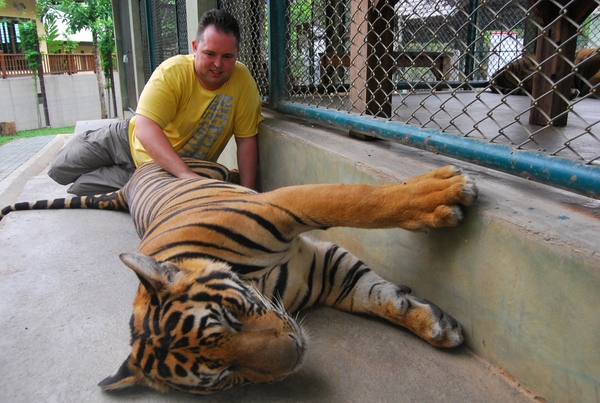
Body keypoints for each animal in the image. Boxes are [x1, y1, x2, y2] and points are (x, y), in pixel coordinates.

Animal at [0, 157, 478, 394]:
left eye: (229, 318)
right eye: (224, 376)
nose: (296, 353)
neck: (264, 284)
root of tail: (128, 182)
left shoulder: (284, 206)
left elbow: (357, 199)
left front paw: (445, 192)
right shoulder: (329, 274)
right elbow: (379, 296)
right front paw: (436, 325)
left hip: (203, 167)